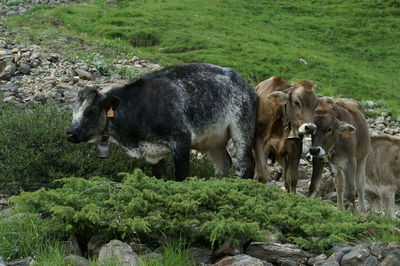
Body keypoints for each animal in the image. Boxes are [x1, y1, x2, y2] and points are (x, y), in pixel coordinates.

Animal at [66, 62, 256, 181]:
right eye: (73, 111)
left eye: (90, 111)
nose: (70, 133)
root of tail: (247, 86)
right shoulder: (155, 156)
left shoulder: (181, 142)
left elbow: (181, 177)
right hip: (214, 143)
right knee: (223, 165)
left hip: (241, 131)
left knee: (245, 165)